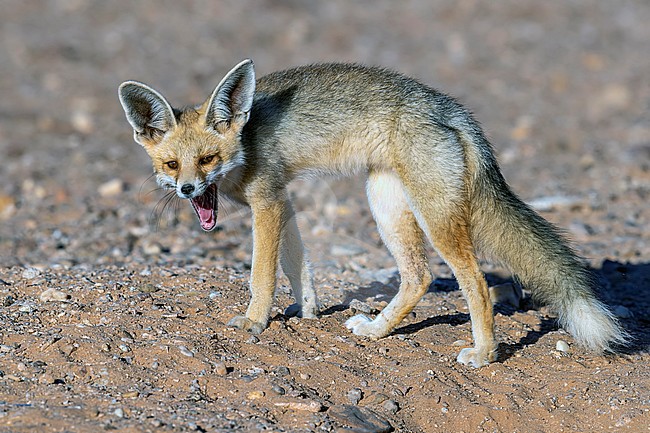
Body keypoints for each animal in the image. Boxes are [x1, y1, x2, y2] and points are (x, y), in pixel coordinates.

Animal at [118, 59, 627, 367]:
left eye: (208, 159)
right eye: (171, 164)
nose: (187, 189)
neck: (244, 143)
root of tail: (451, 109)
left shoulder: (267, 203)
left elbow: (262, 274)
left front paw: (254, 322)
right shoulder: (284, 201)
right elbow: (297, 265)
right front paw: (308, 311)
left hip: (435, 219)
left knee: (476, 283)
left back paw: (483, 354)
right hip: (385, 205)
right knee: (419, 277)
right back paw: (377, 330)